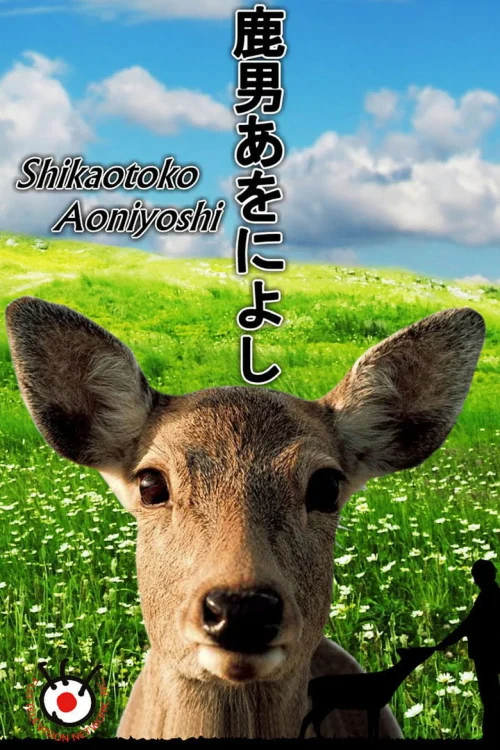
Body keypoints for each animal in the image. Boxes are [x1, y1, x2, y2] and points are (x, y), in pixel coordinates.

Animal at [300, 646, 435, 740]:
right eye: (419, 650)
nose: (433, 648)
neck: (390, 679)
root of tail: (311, 684)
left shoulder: (374, 707)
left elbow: (373, 726)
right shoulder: (373, 705)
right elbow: (373, 726)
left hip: (325, 705)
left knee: (315, 720)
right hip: (323, 704)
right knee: (309, 719)